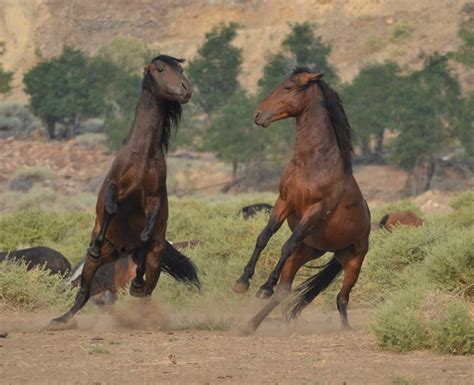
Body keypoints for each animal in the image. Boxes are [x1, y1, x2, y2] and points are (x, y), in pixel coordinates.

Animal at [52, 54, 198, 324]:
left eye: (181, 69)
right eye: (160, 69)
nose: (186, 89)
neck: (142, 155)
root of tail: (120, 253)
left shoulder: (153, 199)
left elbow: (144, 236)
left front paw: (136, 280)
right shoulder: (113, 187)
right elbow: (109, 208)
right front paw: (95, 245)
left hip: (155, 263)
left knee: (144, 292)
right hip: (95, 264)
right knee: (83, 292)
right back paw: (62, 319)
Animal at [233, 67, 370, 330]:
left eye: (288, 87)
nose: (258, 115)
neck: (311, 163)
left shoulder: (315, 211)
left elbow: (286, 244)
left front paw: (264, 286)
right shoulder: (284, 201)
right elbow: (264, 236)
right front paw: (242, 282)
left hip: (353, 262)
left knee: (342, 298)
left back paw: (345, 329)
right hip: (307, 252)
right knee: (285, 291)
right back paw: (252, 325)